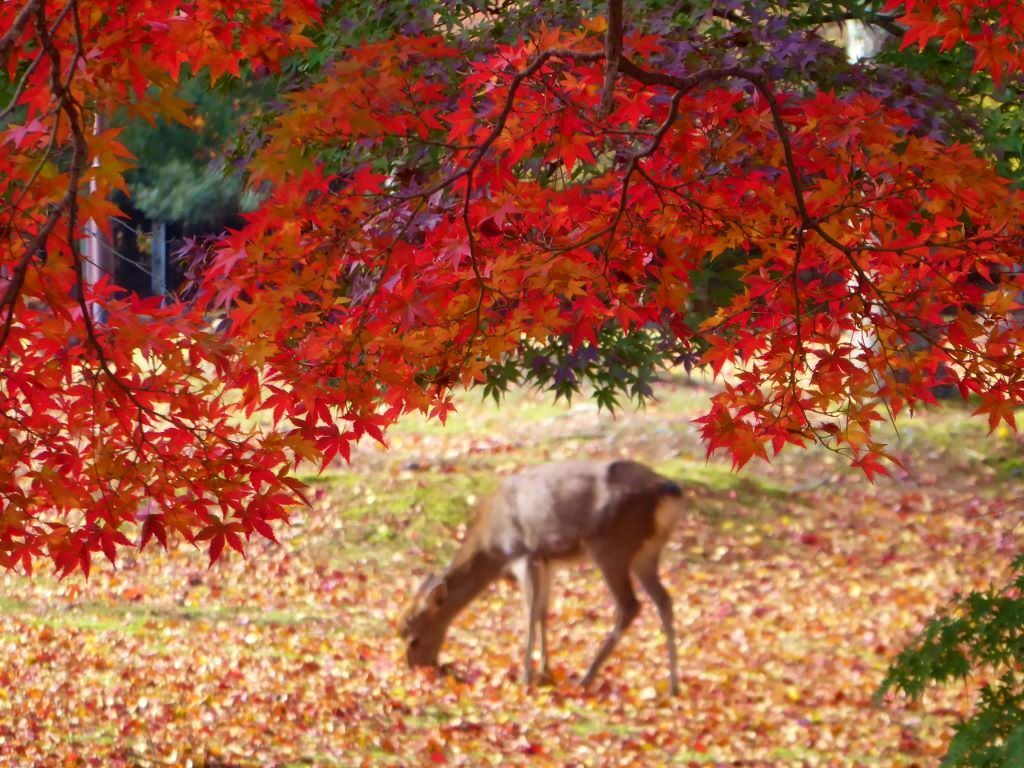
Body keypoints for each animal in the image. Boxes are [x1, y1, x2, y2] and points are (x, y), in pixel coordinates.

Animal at [399, 460, 688, 696]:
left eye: (414, 638)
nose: (416, 667)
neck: (492, 547)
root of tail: (669, 490)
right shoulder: (547, 561)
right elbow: (543, 612)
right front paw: (545, 672)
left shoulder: (522, 554)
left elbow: (529, 613)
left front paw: (526, 675)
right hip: (646, 552)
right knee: (664, 600)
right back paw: (673, 686)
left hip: (612, 546)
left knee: (630, 605)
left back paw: (586, 677)